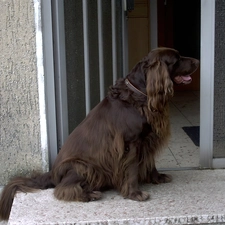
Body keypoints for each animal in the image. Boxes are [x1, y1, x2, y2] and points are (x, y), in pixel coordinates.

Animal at [0, 47, 199, 220]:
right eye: (177, 59)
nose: (198, 60)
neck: (139, 95)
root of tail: (52, 173)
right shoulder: (131, 143)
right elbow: (132, 170)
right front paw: (135, 193)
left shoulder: (146, 141)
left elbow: (150, 163)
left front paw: (157, 178)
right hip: (83, 166)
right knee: (61, 189)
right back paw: (89, 195)